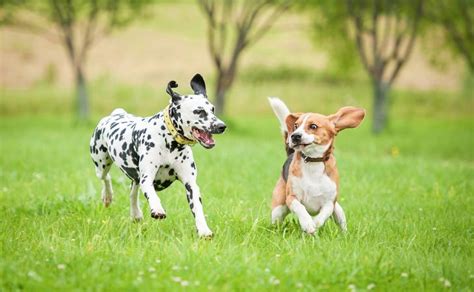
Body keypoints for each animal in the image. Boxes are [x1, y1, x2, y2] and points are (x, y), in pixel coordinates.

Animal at [92, 73, 228, 237]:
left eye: (212, 109)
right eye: (199, 111)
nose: (222, 126)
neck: (170, 142)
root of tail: (116, 114)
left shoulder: (190, 184)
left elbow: (197, 208)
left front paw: (204, 230)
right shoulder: (147, 178)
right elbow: (152, 194)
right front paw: (157, 209)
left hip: (134, 177)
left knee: (132, 192)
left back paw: (136, 214)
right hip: (101, 164)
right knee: (106, 178)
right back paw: (107, 196)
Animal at [268, 97, 364, 234]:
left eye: (313, 126)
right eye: (296, 126)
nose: (294, 136)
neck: (313, 161)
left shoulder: (329, 203)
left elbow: (323, 215)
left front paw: (314, 224)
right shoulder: (292, 198)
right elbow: (300, 208)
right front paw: (308, 223)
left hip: (338, 210)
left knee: (341, 222)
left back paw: (344, 234)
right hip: (278, 209)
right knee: (277, 221)